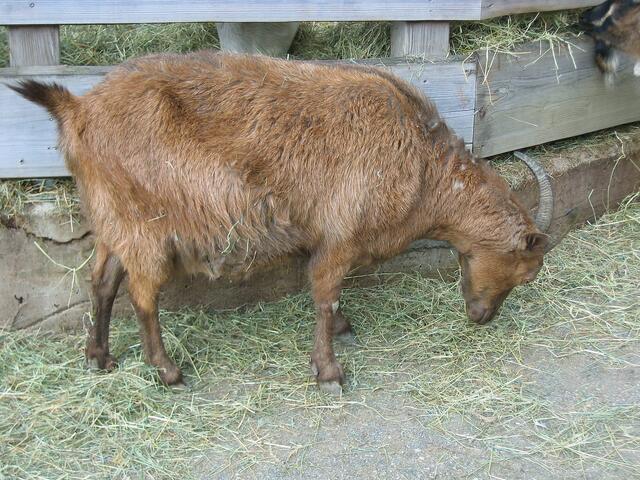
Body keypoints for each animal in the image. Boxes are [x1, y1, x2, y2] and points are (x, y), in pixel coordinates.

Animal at [9, 51, 553, 394]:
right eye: (525, 270)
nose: (481, 317)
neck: (422, 163)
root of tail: (76, 106)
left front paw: (343, 331)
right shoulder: (340, 234)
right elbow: (324, 293)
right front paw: (330, 371)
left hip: (111, 218)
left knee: (101, 281)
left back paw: (99, 357)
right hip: (146, 224)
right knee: (142, 295)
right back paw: (167, 371)